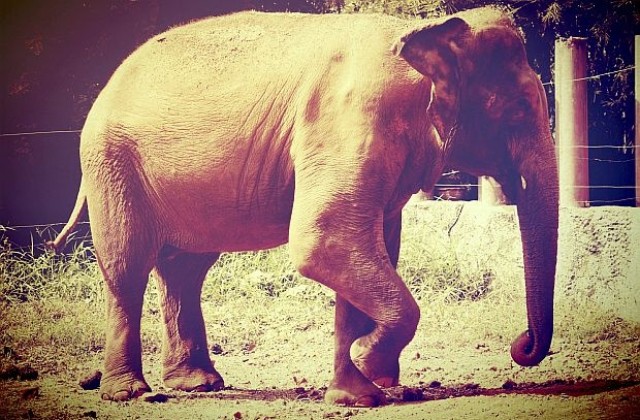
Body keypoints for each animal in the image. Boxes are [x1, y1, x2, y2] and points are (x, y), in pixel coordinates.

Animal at [50, 6, 556, 406]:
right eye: (514, 111)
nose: (520, 345)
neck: (418, 34)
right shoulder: (347, 123)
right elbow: (326, 240)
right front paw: (369, 363)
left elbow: (366, 248)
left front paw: (358, 393)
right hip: (110, 162)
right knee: (127, 267)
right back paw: (130, 393)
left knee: (185, 269)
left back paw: (198, 384)